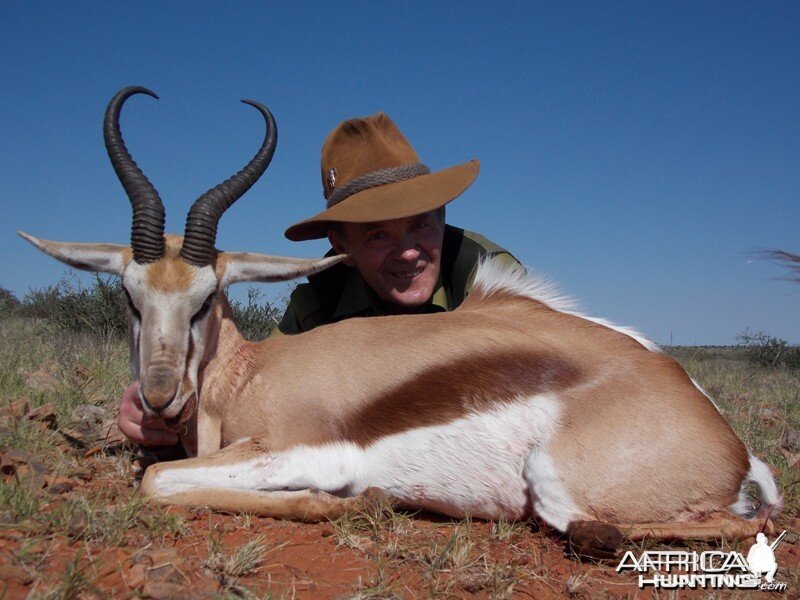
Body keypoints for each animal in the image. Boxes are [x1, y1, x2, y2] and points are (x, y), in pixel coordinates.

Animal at [21, 86, 780, 552]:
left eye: (206, 296)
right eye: (129, 296)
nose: (157, 395)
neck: (243, 376)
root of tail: (723, 437)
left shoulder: (300, 449)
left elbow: (157, 481)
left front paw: (350, 502)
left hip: (559, 487)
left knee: (722, 525)